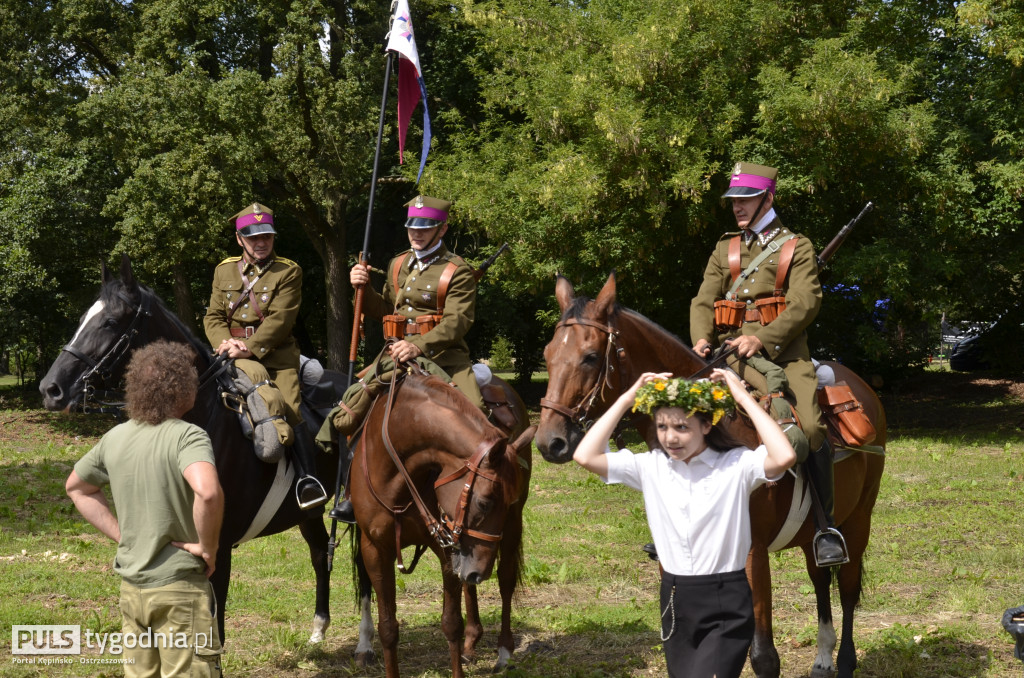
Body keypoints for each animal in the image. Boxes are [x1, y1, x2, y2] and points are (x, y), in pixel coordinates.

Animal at [40, 256, 344, 647]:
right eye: (82, 319)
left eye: (110, 321)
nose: (51, 389)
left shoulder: (218, 545)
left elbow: (215, 623)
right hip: (308, 513)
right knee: (320, 553)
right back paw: (319, 625)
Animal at [348, 368, 536, 675]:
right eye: (484, 502)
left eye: (504, 503)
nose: (480, 571)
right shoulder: (375, 549)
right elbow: (388, 627)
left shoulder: (447, 549)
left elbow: (451, 623)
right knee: (469, 584)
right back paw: (471, 642)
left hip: (509, 529)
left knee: (505, 580)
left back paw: (503, 652)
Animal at [536, 272, 888, 678]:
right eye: (547, 356)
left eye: (591, 356)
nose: (550, 442)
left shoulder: (752, 554)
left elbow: (763, 657)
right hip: (811, 530)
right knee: (819, 578)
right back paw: (823, 655)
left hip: (859, 518)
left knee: (846, 586)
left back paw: (844, 660)